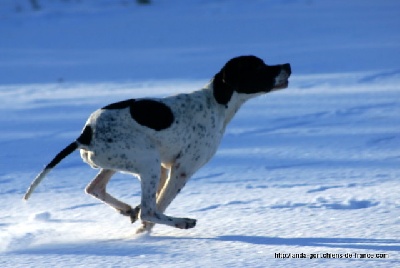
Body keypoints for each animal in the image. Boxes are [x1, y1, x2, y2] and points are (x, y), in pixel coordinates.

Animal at [24, 55, 290, 233]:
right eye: (258, 66)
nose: (288, 66)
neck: (215, 102)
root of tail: (85, 134)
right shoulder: (181, 170)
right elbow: (157, 207)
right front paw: (145, 231)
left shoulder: (168, 167)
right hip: (148, 163)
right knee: (149, 209)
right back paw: (180, 222)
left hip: (130, 163)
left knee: (95, 188)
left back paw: (127, 209)